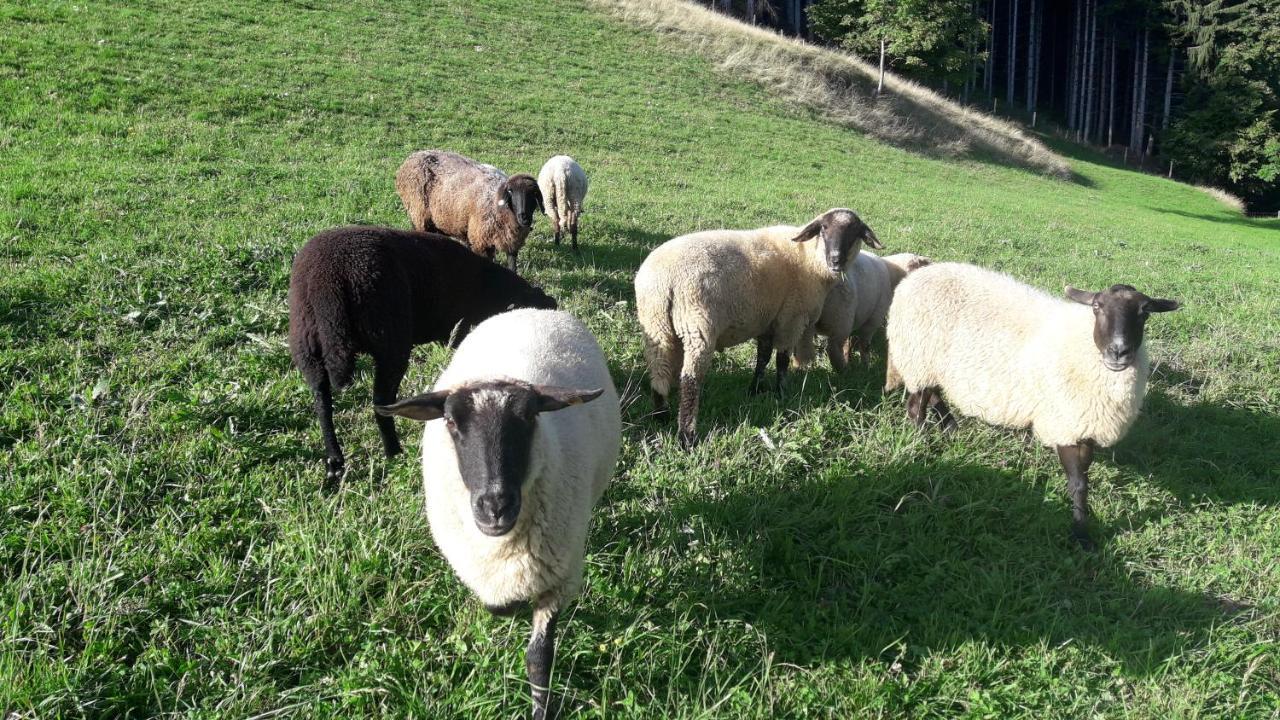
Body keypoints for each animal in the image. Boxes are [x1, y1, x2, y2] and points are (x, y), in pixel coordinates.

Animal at [373, 307, 619, 717]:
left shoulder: (559, 577)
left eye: (531, 418)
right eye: (451, 421)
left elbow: (539, 656)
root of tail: (530, 310)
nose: (495, 506)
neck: (505, 548)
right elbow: (497, 605)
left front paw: (540, 708)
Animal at [394, 149, 545, 272]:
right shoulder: (480, 242)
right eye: (511, 192)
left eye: (534, 195)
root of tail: (412, 157)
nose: (524, 217)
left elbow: (512, 268)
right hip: (419, 213)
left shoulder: (512, 244)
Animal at [880, 260, 1177, 545]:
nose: (1118, 351)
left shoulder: (1084, 427)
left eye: (1145, 312)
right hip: (918, 358)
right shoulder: (1065, 426)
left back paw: (950, 427)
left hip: (933, 366)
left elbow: (1084, 480)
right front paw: (1081, 534)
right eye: (1096, 307)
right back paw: (923, 442)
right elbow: (1079, 485)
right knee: (916, 407)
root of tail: (914, 278)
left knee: (934, 395)